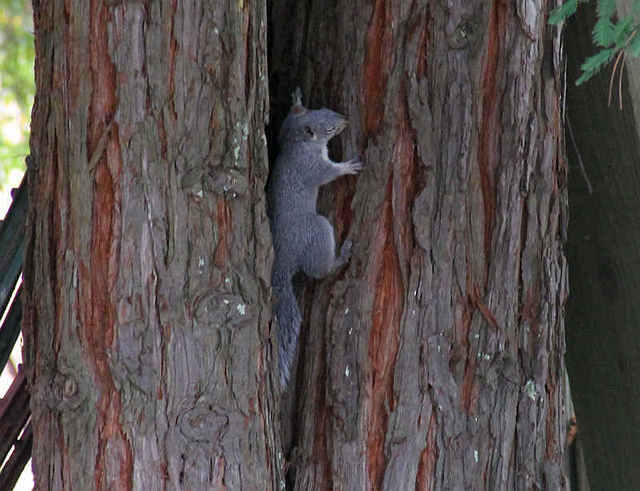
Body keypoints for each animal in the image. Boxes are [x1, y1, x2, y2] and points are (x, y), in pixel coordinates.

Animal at [268, 89, 362, 387]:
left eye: (323, 108)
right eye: (327, 128)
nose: (344, 120)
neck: (297, 142)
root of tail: (284, 260)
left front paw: (295, 100)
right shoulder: (311, 168)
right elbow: (326, 174)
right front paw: (347, 167)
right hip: (316, 230)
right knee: (318, 271)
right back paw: (341, 256)